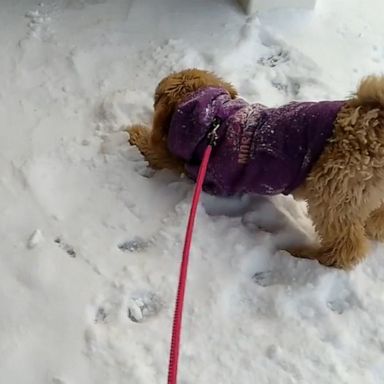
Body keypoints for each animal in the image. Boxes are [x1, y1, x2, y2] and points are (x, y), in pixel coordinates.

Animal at [128, 67, 384, 268]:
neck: (212, 120)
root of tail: (372, 122)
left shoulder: (193, 169)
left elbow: (157, 151)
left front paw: (134, 134)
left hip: (333, 190)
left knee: (347, 246)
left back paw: (310, 255)